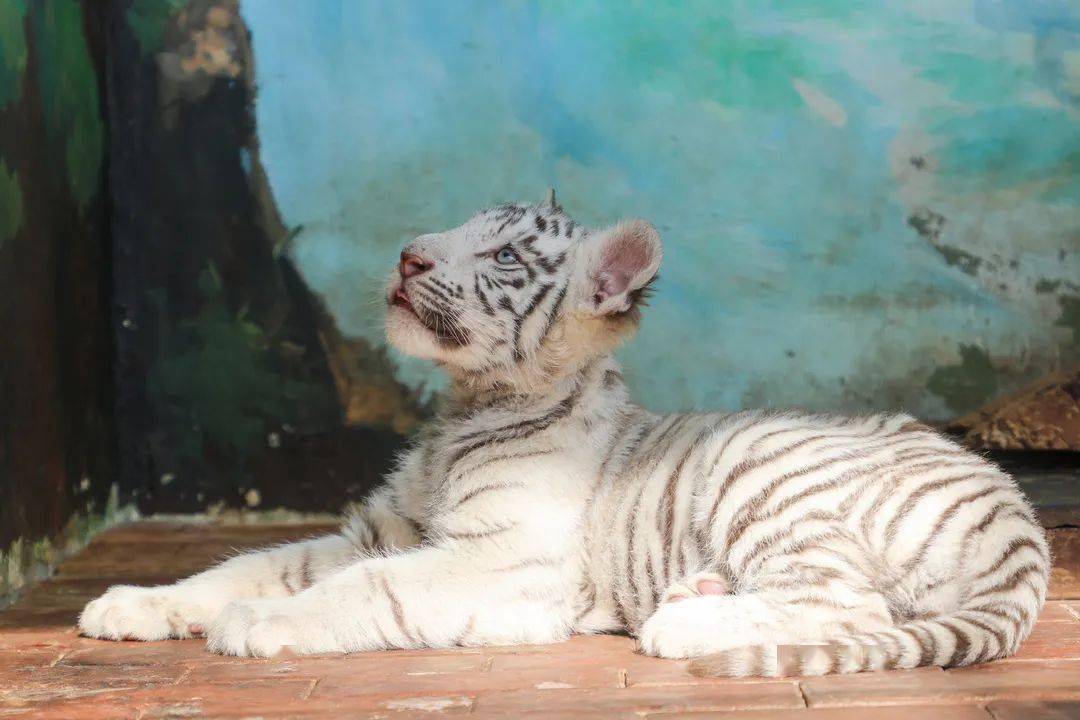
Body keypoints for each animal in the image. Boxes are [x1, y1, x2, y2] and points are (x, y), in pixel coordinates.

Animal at [79, 191, 1049, 676]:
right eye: (463, 228)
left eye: (506, 255)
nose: (408, 255)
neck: (467, 407)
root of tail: (1019, 517)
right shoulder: (378, 529)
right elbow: (250, 563)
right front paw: (134, 604)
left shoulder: (496, 557)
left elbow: (363, 591)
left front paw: (255, 623)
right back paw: (696, 594)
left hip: (767, 478)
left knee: (851, 606)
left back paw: (680, 625)